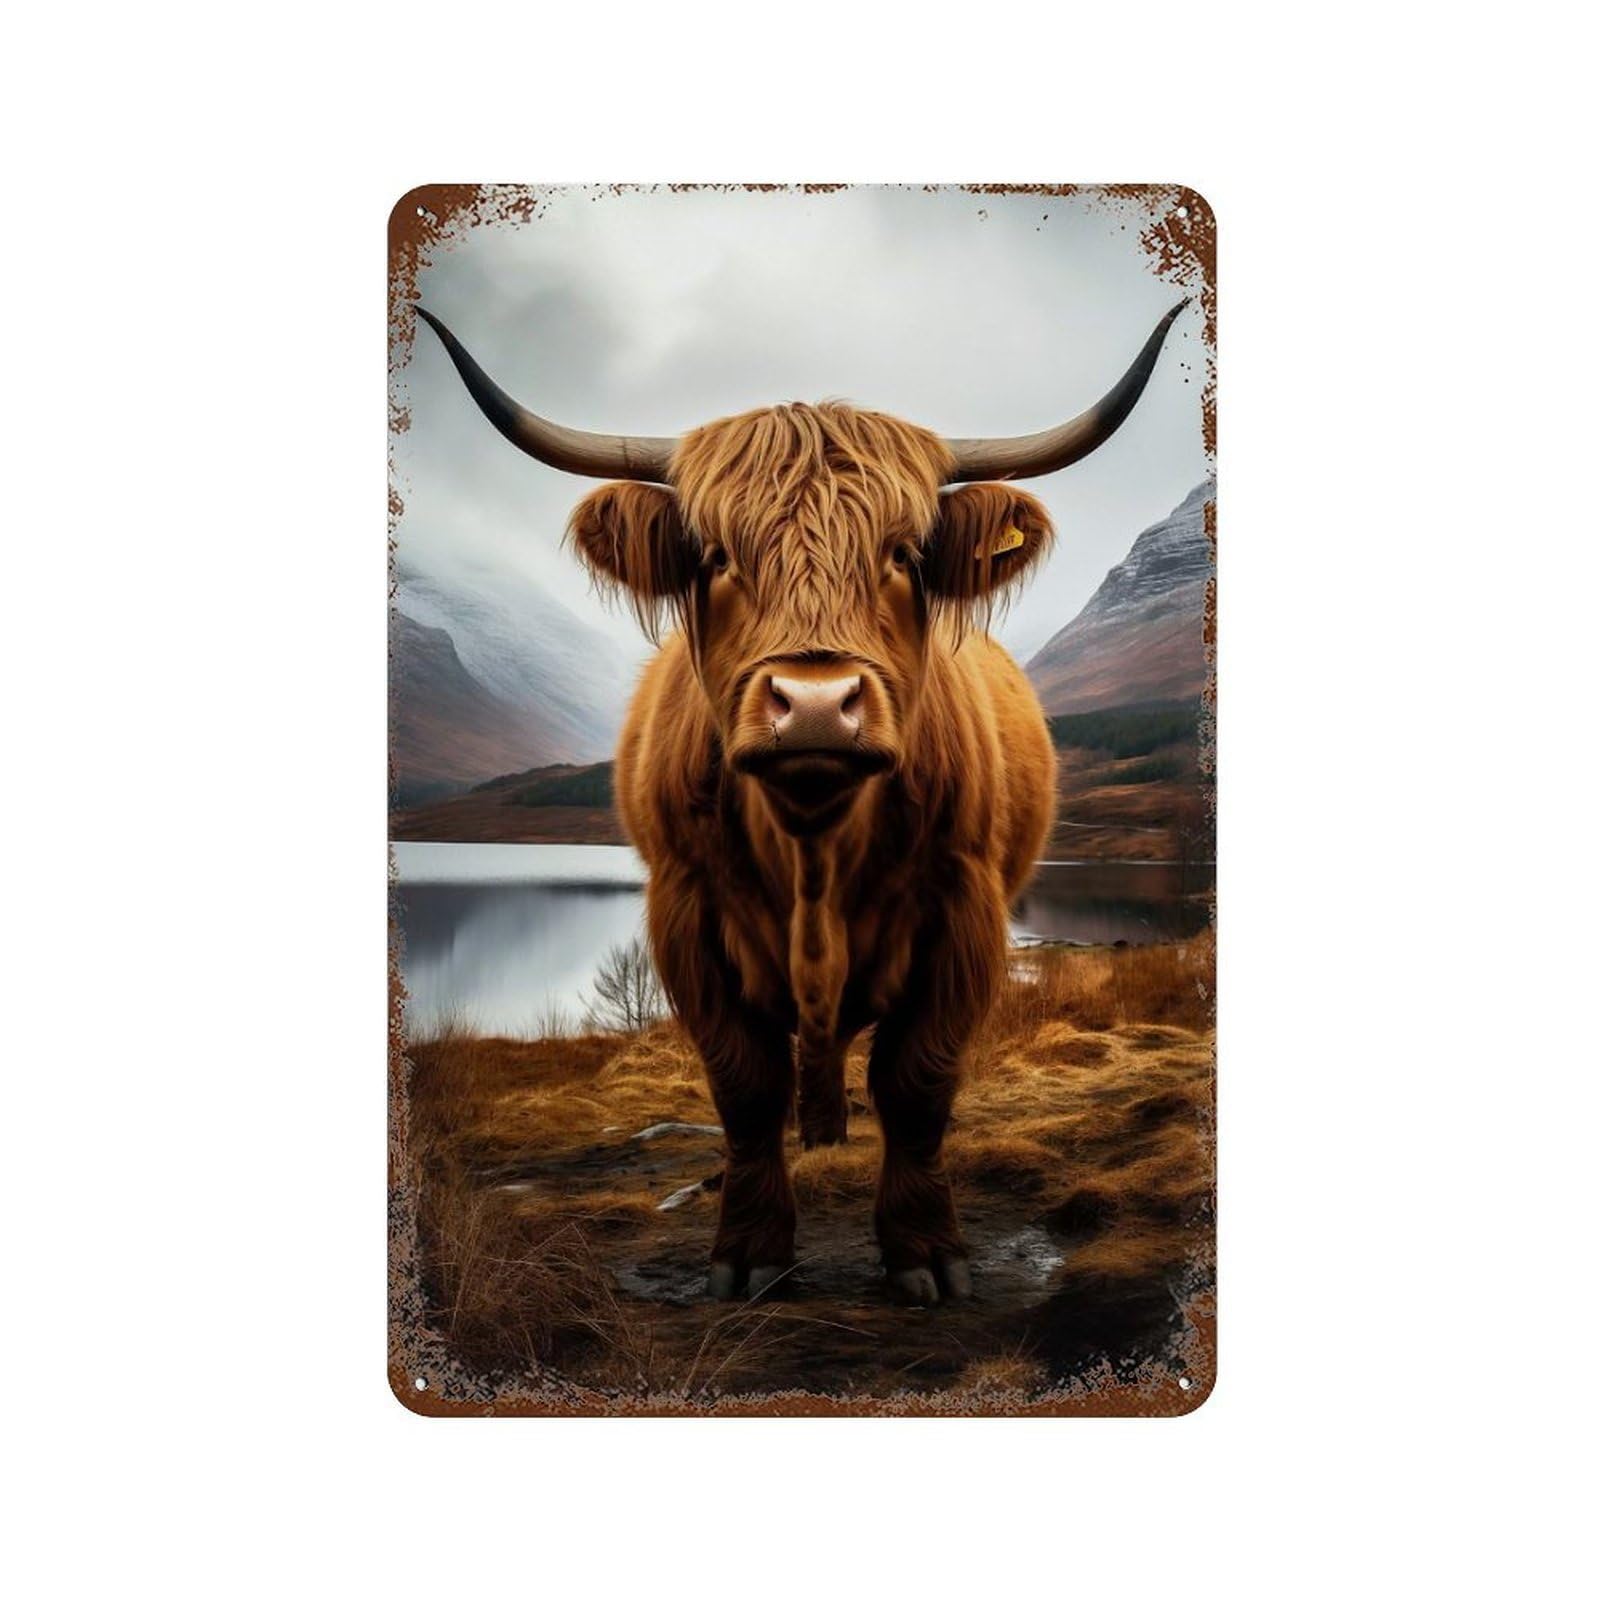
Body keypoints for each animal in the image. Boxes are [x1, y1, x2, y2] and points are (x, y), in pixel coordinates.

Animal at [416, 301, 1187, 1303]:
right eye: (715, 555)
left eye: (904, 553)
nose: (815, 704)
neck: (815, 845)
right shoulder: (685, 913)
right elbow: (743, 1085)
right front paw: (749, 1255)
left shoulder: (966, 913)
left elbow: (918, 1081)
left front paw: (925, 1255)